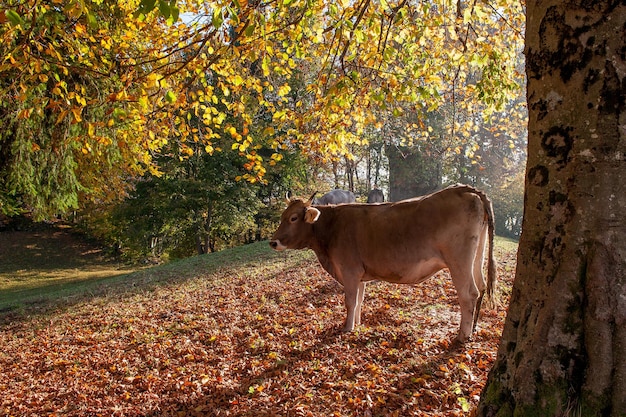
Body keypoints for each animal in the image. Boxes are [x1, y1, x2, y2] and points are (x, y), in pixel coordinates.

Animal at [270, 184, 494, 342]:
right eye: (282, 216)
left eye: (293, 217)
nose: (273, 242)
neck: (332, 227)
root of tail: (463, 188)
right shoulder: (360, 276)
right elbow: (359, 300)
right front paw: (357, 323)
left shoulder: (349, 271)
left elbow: (349, 301)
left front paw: (347, 328)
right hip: (477, 256)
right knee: (482, 286)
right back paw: (474, 328)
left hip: (459, 261)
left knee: (469, 294)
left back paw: (462, 336)